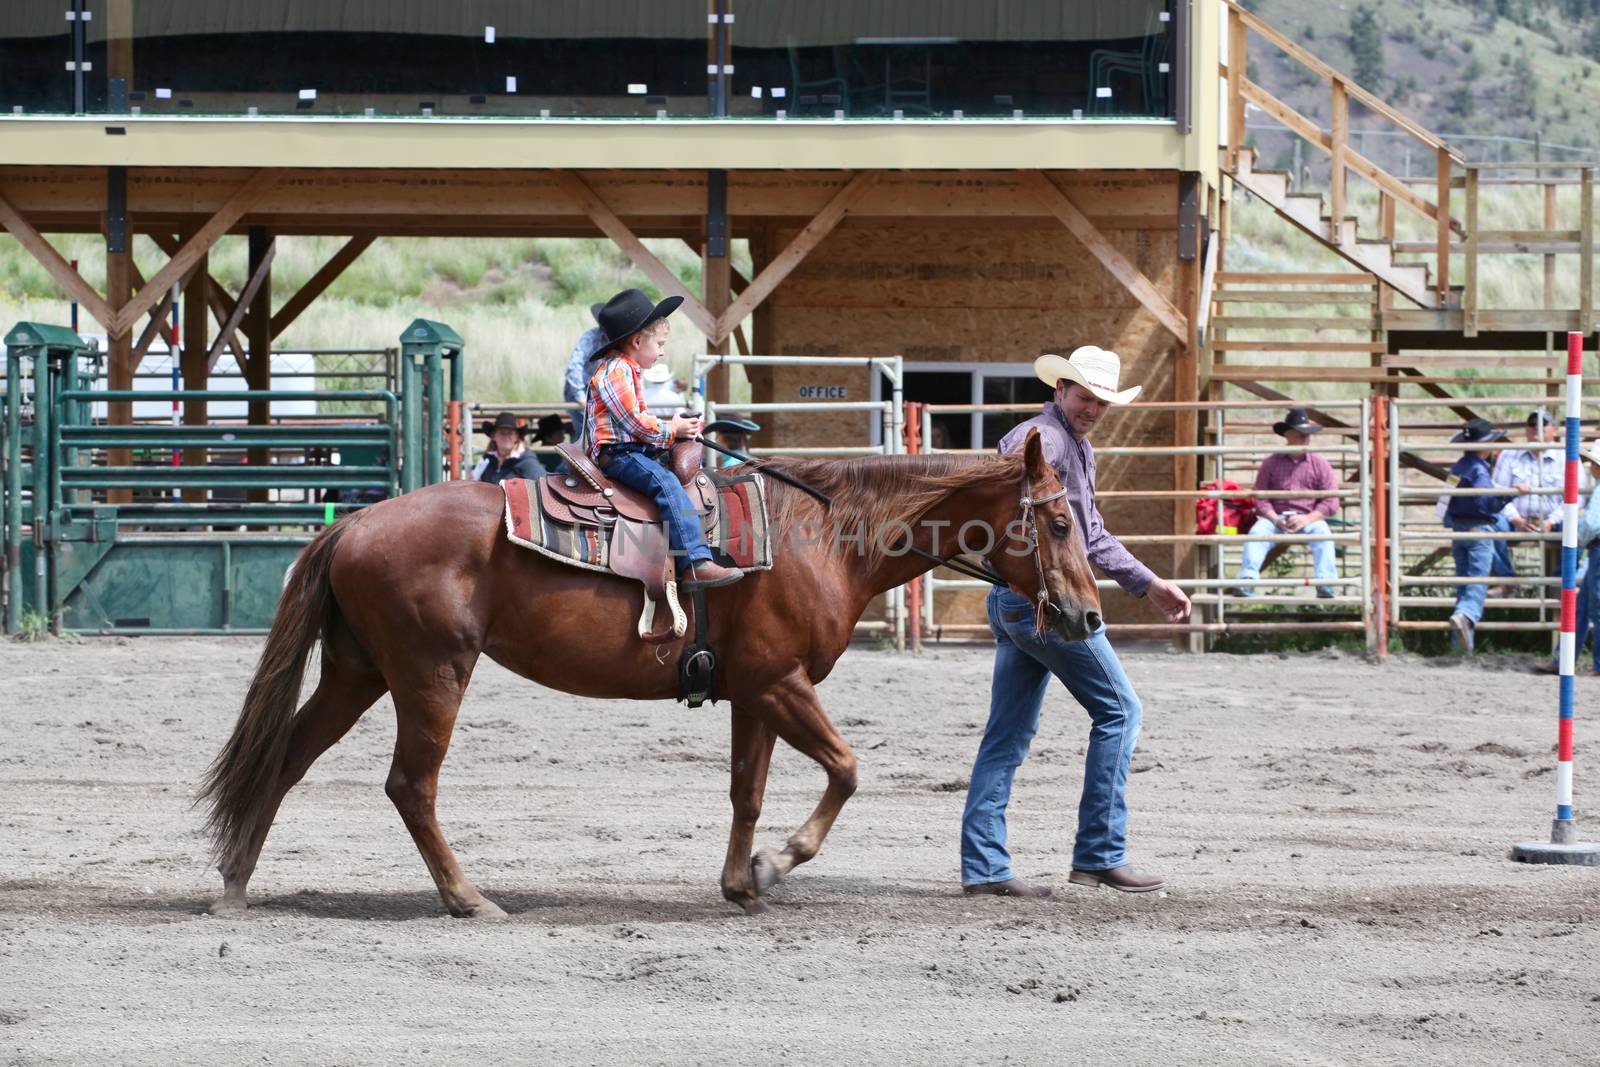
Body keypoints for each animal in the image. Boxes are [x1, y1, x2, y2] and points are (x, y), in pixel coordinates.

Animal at [200, 431, 1100, 921]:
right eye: (1058, 519)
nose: (1087, 616)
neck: (821, 535)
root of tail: (354, 522)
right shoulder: (782, 682)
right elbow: (846, 769)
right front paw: (776, 863)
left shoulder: (753, 692)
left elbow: (747, 790)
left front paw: (741, 881)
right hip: (431, 672)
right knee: (409, 784)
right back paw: (468, 897)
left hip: (359, 672)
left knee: (285, 757)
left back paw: (235, 884)